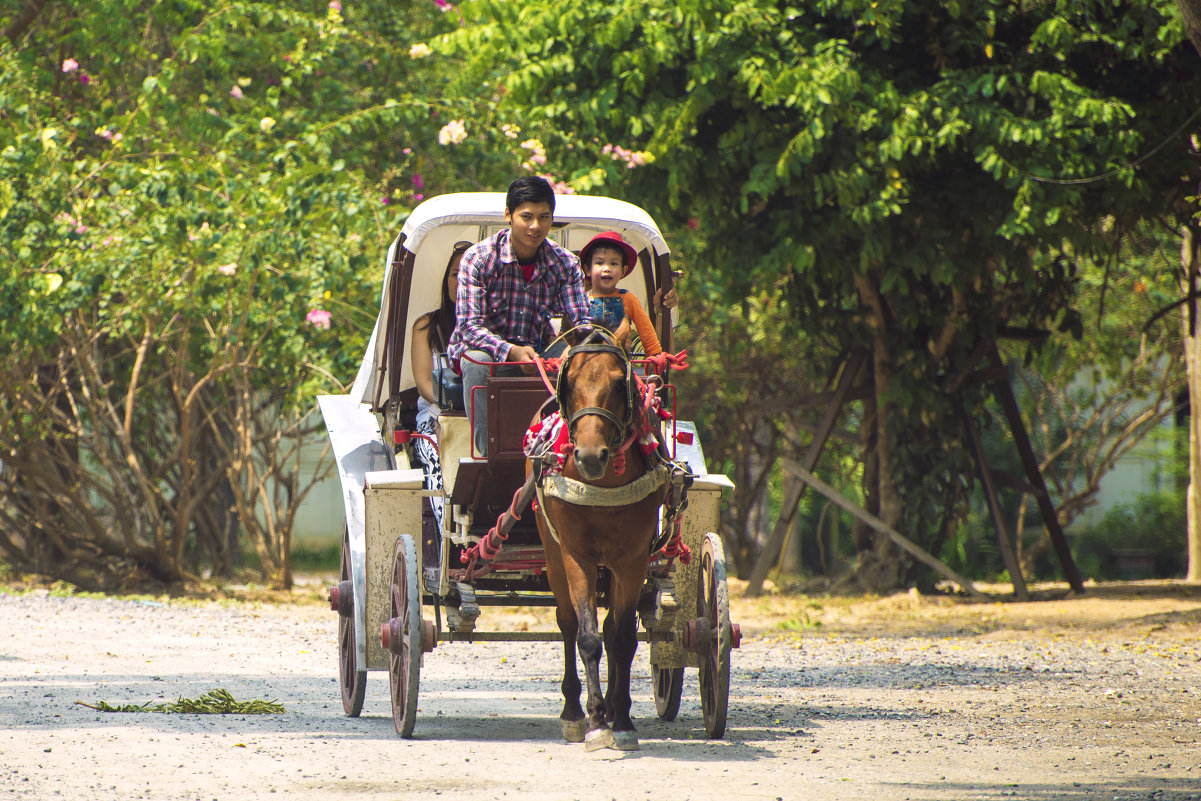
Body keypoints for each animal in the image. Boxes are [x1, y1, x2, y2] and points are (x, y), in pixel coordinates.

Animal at [530, 319, 667, 754]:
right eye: (569, 382)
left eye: (619, 383)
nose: (590, 457)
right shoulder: (577, 556)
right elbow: (587, 636)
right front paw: (594, 722)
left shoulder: (633, 559)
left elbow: (620, 638)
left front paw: (620, 720)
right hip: (553, 554)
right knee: (568, 623)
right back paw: (574, 711)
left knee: (609, 630)